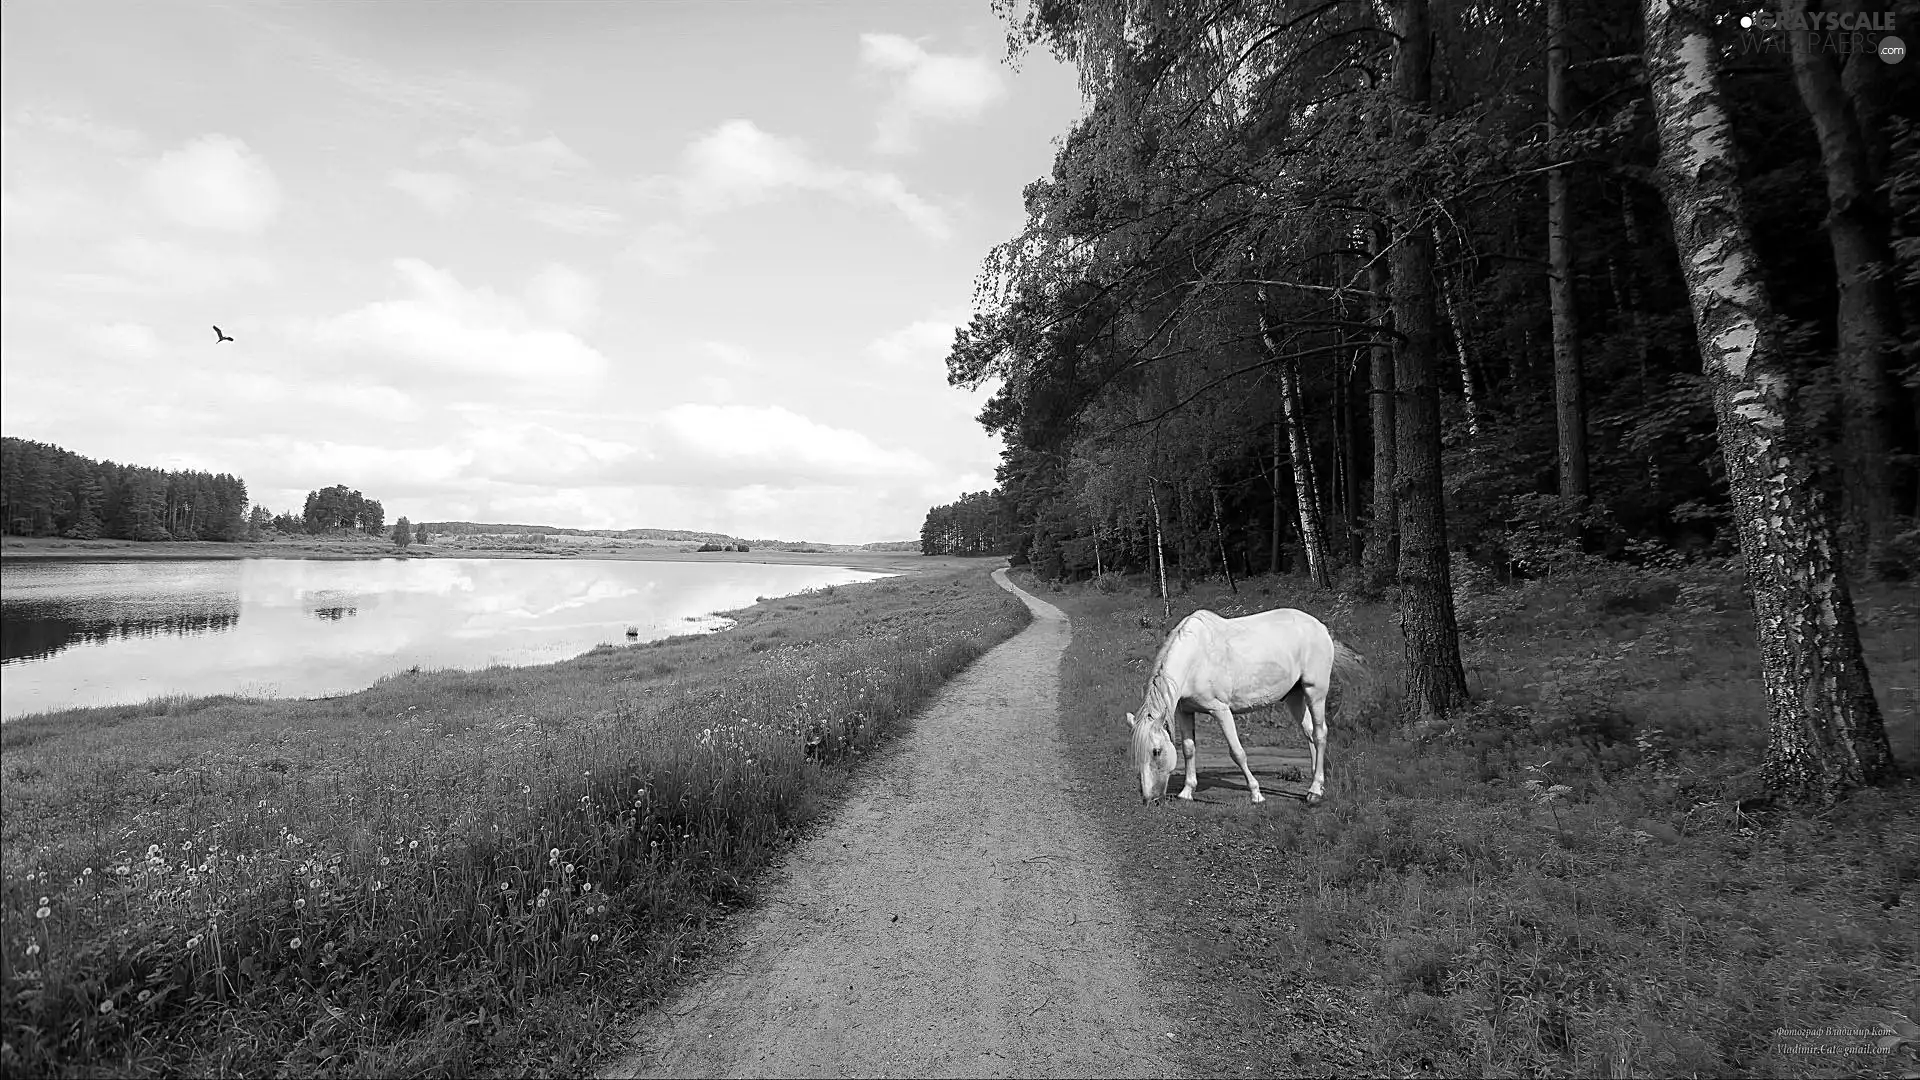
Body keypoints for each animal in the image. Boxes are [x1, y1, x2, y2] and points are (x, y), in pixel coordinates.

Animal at [1121, 611, 1367, 803]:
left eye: (1156, 751)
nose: (1150, 799)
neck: (1195, 658)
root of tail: (1322, 628)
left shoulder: (1220, 711)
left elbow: (1237, 752)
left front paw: (1256, 794)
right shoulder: (1185, 711)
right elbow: (1189, 749)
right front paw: (1187, 792)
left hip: (1315, 691)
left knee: (1320, 733)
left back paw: (1315, 792)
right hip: (1295, 696)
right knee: (1310, 734)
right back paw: (1317, 785)